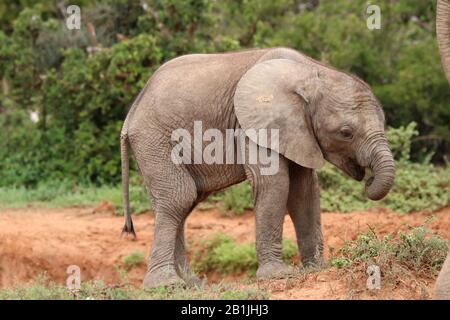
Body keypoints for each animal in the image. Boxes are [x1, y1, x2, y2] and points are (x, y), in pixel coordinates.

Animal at [119, 46, 394, 288]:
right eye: (346, 133)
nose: (368, 179)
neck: (312, 72)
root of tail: (131, 112)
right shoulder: (257, 124)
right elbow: (273, 183)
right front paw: (277, 275)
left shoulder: (298, 131)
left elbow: (304, 191)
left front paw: (316, 269)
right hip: (153, 139)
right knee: (179, 197)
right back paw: (166, 284)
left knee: (181, 204)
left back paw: (191, 284)